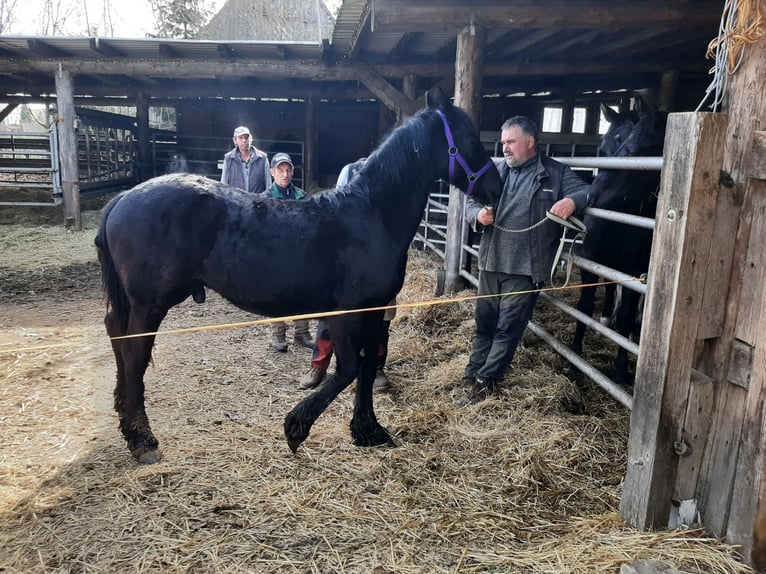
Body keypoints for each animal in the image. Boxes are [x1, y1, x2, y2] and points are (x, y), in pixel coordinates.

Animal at [95, 87, 502, 463]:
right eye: (469, 138)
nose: (496, 187)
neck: (370, 214)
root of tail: (123, 199)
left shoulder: (374, 311)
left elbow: (367, 368)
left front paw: (368, 430)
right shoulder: (347, 313)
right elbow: (349, 369)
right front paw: (296, 427)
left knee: (116, 334)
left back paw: (125, 418)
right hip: (150, 304)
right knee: (134, 355)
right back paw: (143, 440)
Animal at [570, 97, 667, 386]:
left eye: (641, 151)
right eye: (602, 150)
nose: (593, 197)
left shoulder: (634, 273)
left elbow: (625, 320)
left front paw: (621, 372)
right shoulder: (590, 261)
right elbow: (585, 307)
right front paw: (574, 357)